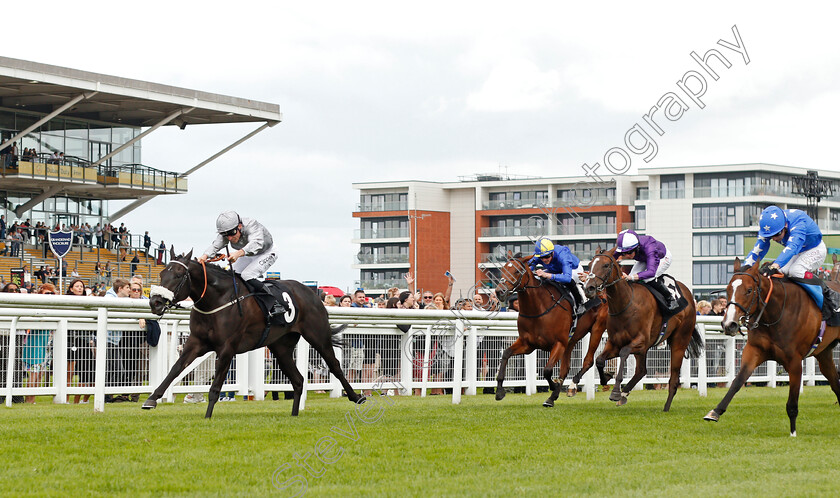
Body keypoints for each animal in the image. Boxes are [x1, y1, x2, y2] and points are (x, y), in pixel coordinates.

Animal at [144, 249, 360, 416]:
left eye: (179, 275)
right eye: (162, 274)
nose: (155, 302)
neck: (216, 300)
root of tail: (311, 292)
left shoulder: (227, 348)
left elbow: (215, 386)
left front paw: (207, 417)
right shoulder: (195, 343)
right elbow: (175, 369)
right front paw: (151, 399)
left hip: (318, 336)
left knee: (335, 365)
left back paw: (356, 397)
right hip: (281, 347)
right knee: (298, 380)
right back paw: (294, 414)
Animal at [496, 256, 608, 408]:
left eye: (517, 271)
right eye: (502, 270)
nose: (499, 291)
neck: (539, 307)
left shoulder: (559, 343)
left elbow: (547, 370)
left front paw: (554, 387)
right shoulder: (527, 344)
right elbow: (506, 354)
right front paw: (499, 392)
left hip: (597, 329)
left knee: (588, 361)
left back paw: (573, 386)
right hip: (571, 340)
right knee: (566, 368)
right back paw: (555, 395)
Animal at [584, 248, 704, 408]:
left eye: (606, 265)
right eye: (590, 264)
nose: (589, 288)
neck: (625, 304)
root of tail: (689, 295)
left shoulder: (641, 342)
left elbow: (624, 352)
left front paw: (615, 391)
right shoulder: (614, 342)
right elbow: (599, 360)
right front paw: (606, 378)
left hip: (680, 341)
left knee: (673, 379)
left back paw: (665, 408)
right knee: (641, 370)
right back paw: (624, 394)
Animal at [704, 256, 840, 436]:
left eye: (749, 290)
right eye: (727, 290)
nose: (729, 325)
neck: (776, 313)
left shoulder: (795, 361)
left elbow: (792, 401)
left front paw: (793, 433)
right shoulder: (753, 351)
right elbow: (737, 381)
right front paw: (715, 412)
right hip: (824, 353)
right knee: (835, 382)